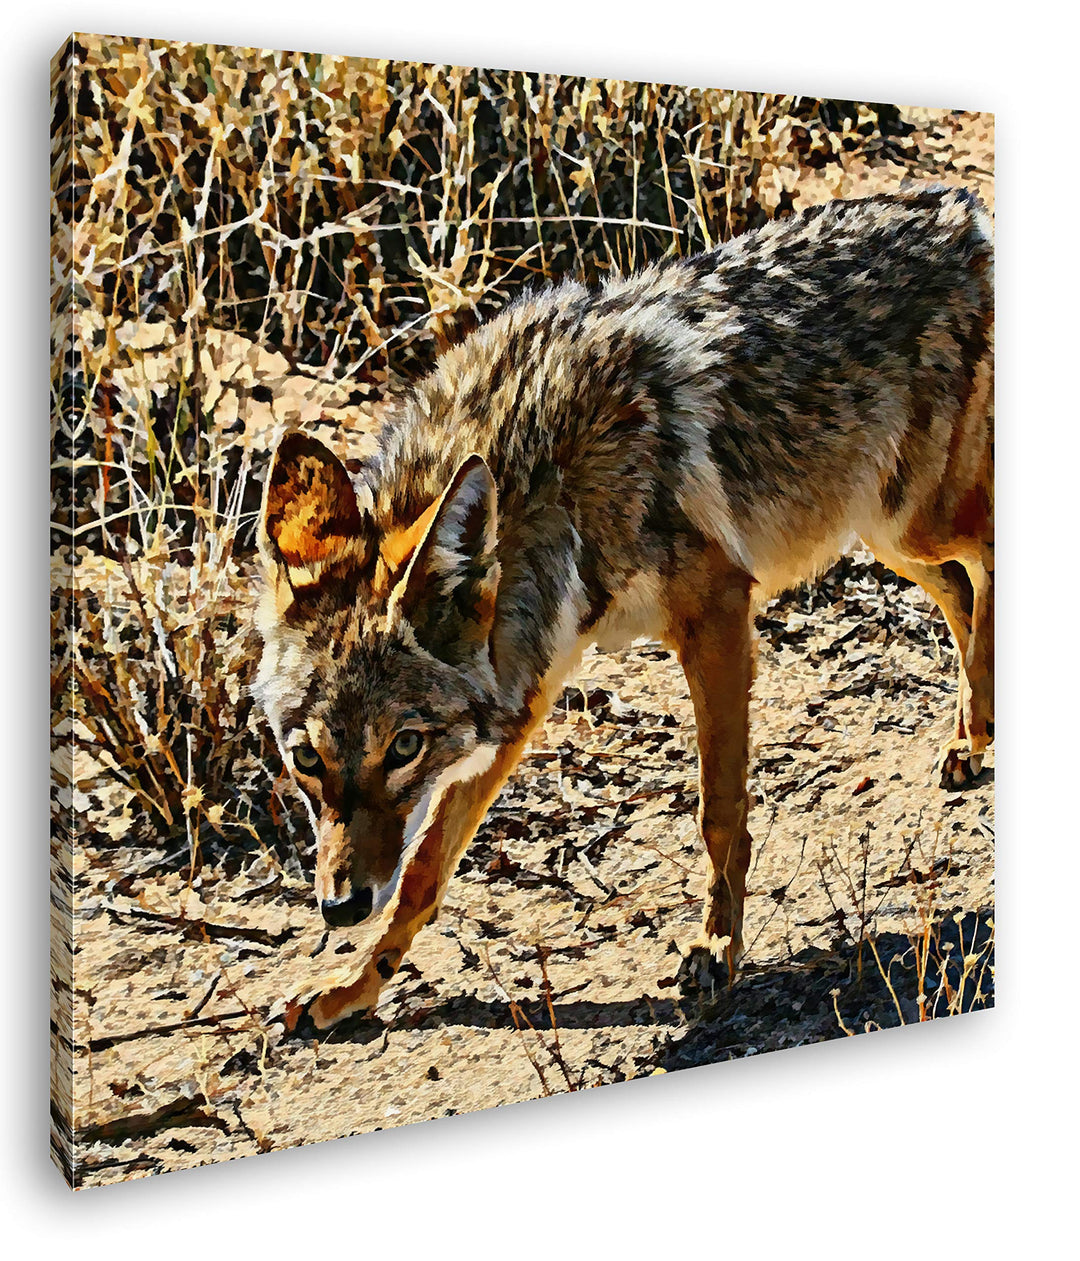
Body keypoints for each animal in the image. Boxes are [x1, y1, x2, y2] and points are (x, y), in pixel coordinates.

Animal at [255, 186, 994, 1029]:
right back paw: (970, 738)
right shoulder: (523, 693)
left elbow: (719, 809)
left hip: (915, 519)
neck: (550, 480)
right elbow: (422, 875)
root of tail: (959, 208)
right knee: (963, 590)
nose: (340, 906)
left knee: (989, 559)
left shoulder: (715, 612)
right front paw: (351, 987)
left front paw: (717, 947)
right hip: (884, 532)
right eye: (306, 758)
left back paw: (983, 731)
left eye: (405, 746)